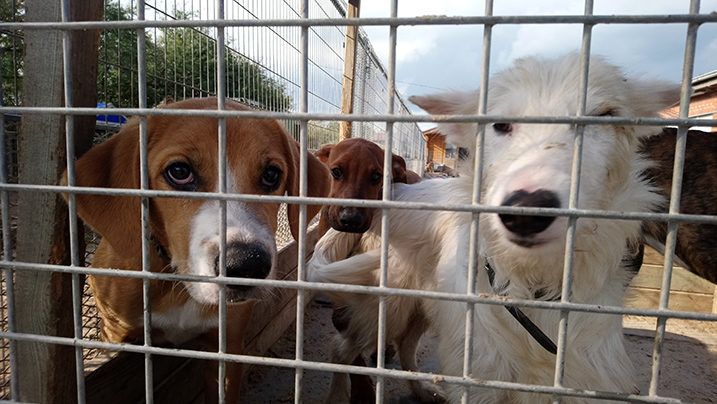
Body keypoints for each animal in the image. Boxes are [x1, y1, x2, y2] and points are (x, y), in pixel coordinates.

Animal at [61, 98, 330, 404]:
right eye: (179, 172)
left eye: (272, 175)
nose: (247, 265)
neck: (180, 286)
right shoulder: (114, 334)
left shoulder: (228, 348)